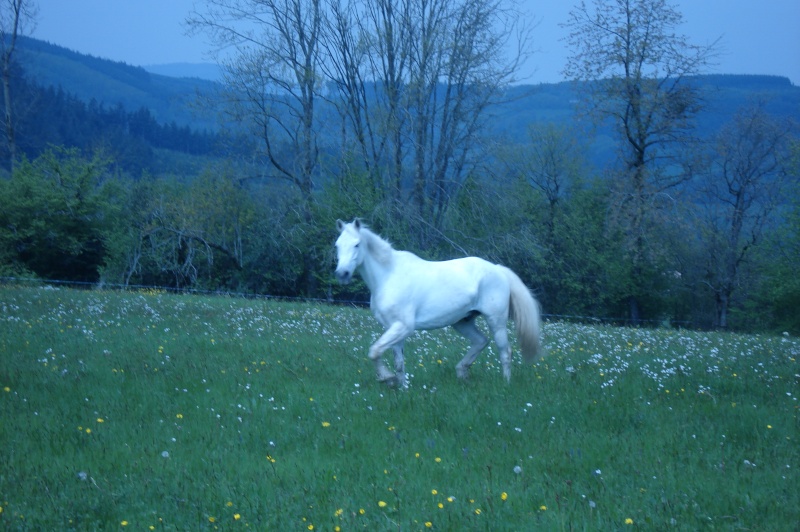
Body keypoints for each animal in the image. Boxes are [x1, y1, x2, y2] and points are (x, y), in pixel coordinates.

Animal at [332, 218, 544, 384]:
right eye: (337, 245)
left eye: (357, 244)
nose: (342, 274)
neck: (389, 276)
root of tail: (498, 269)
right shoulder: (393, 328)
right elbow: (399, 364)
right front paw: (401, 389)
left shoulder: (403, 326)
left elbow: (374, 351)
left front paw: (386, 378)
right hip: (462, 322)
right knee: (481, 341)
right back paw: (462, 372)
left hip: (496, 321)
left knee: (505, 352)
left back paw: (505, 384)